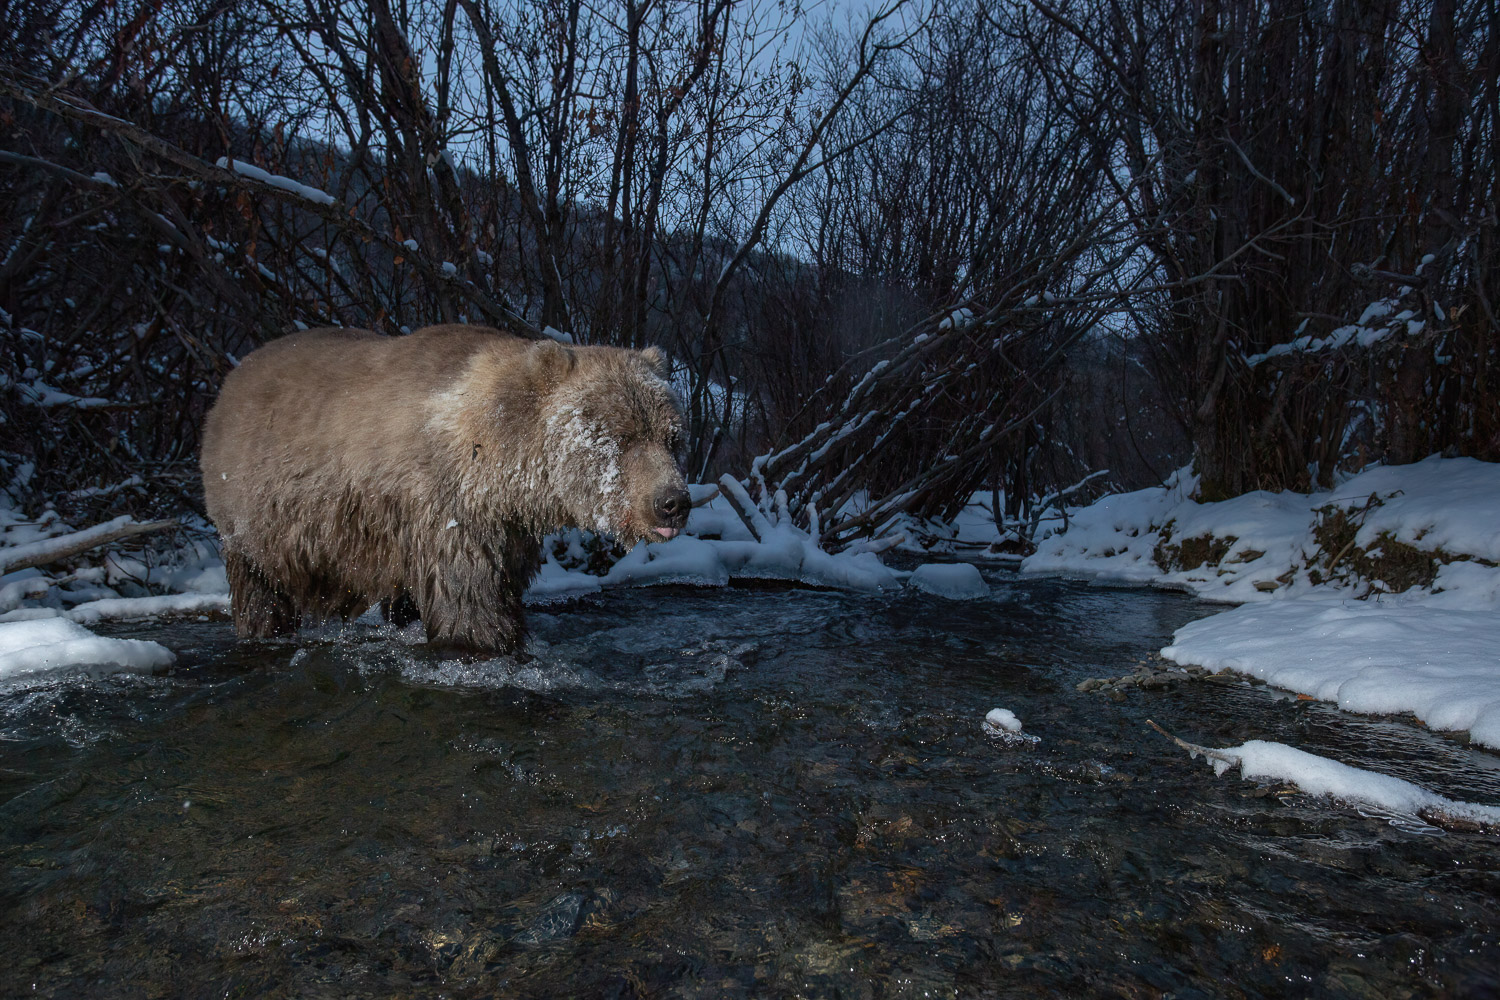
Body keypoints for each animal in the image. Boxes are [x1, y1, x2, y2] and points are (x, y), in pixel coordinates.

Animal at [201, 326, 690, 656]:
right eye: (620, 437)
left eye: (672, 437)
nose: (672, 502)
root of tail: (228, 383)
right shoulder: (447, 509)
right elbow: (469, 602)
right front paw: (486, 642)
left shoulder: (505, 529)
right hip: (256, 519)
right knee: (260, 591)